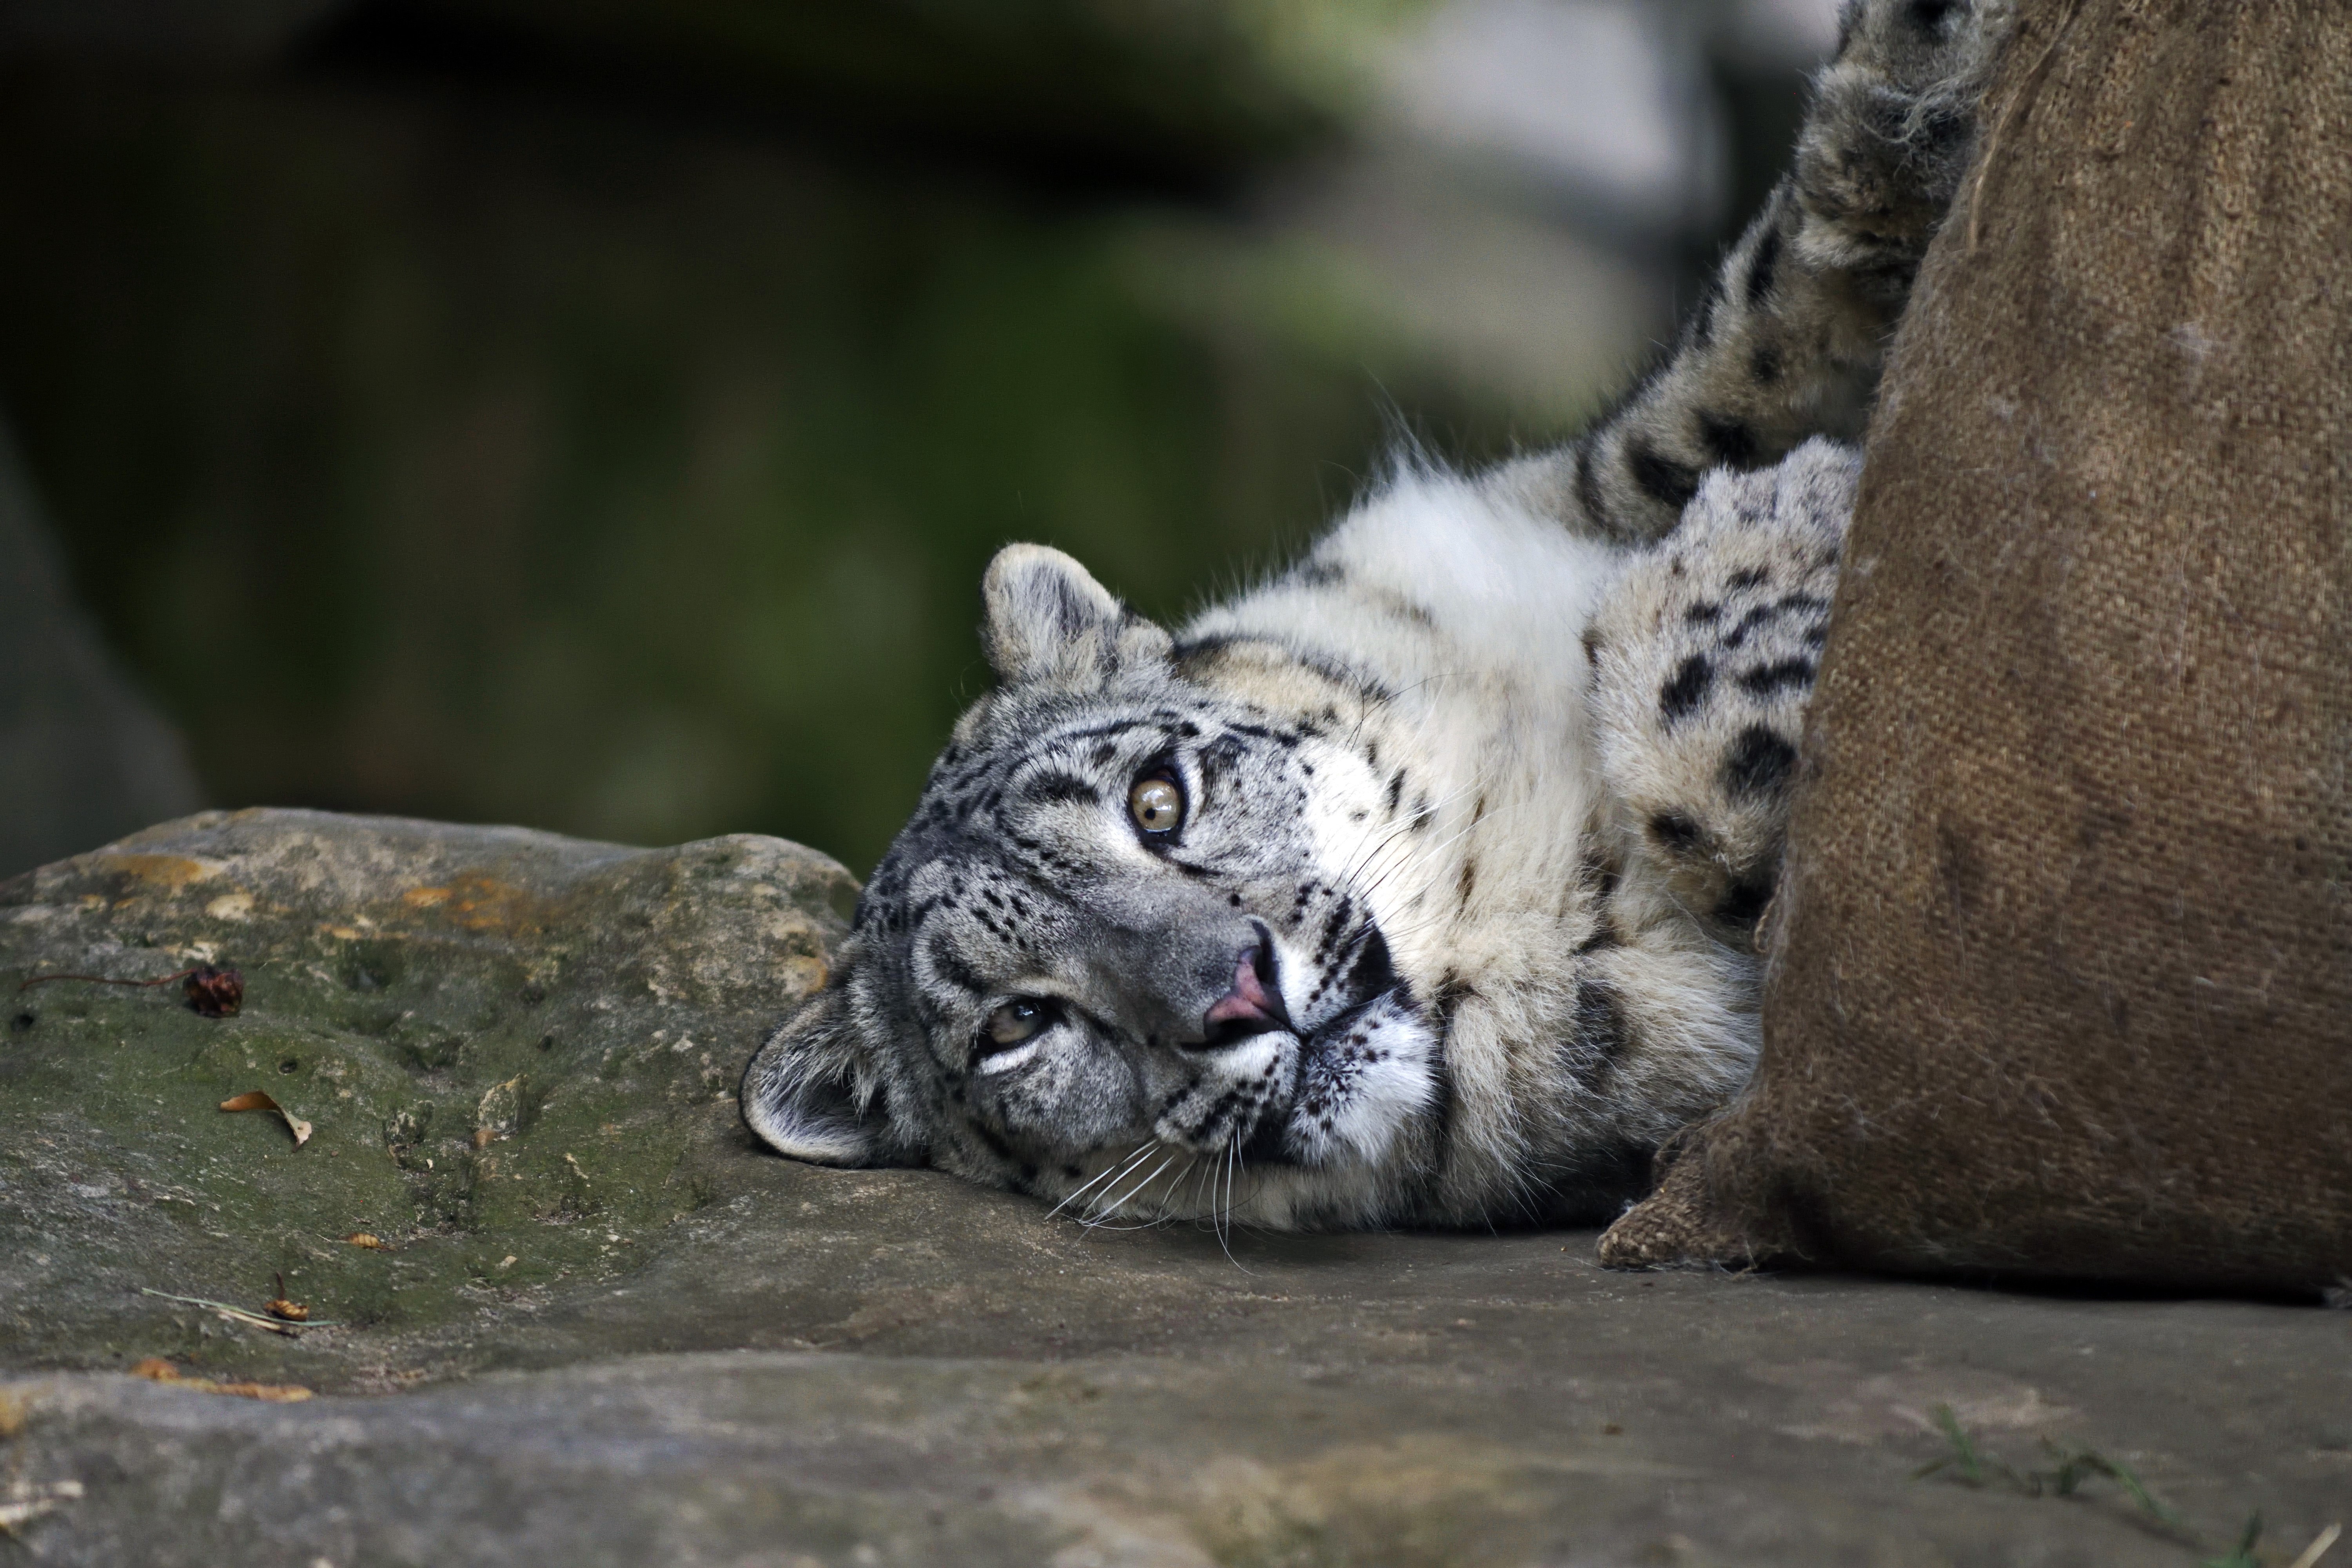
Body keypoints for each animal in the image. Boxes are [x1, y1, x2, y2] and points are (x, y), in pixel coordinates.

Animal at [743, 0, 2014, 1231]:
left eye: (1157, 799)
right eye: (1013, 1026)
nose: (1238, 992)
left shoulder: (1564, 494)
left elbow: (1745, 346)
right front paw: (1772, 522)